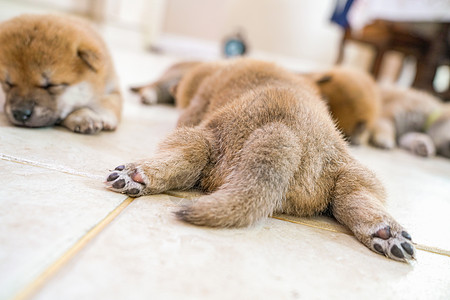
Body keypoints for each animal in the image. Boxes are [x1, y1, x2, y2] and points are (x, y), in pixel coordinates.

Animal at [105, 59, 414, 262]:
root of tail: (282, 131)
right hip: (352, 173)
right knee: (354, 197)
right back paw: (386, 233)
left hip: (202, 137)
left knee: (185, 158)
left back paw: (134, 173)